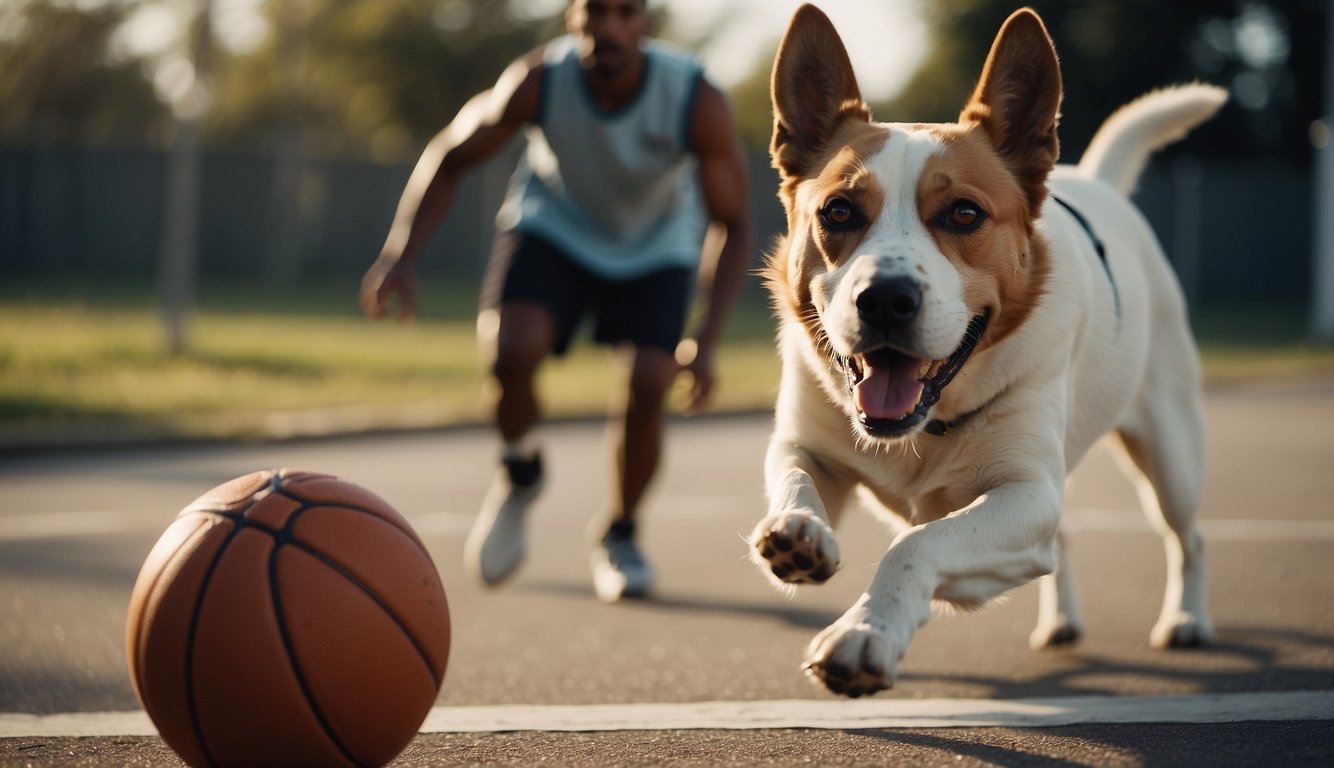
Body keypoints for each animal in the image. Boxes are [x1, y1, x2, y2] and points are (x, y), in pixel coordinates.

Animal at [747, 4, 1221, 693]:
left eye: (964, 214)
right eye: (837, 211)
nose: (884, 299)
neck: (925, 426)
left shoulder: (1025, 493)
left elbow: (916, 545)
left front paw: (865, 633)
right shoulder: (805, 443)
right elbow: (794, 480)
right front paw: (797, 530)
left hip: (1171, 455)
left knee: (1188, 536)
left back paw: (1187, 619)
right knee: (1067, 541)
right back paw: (1062, 623)